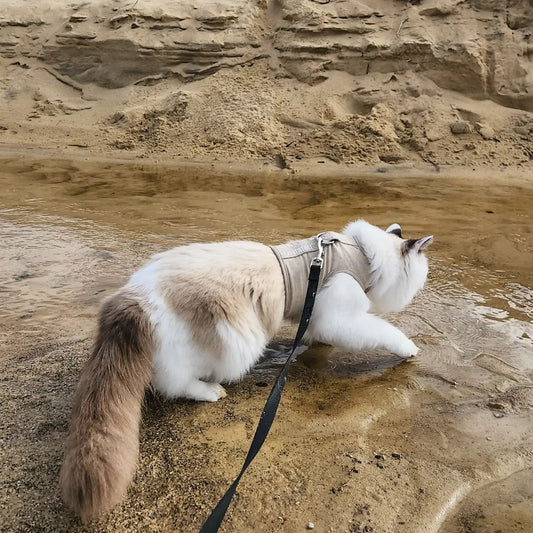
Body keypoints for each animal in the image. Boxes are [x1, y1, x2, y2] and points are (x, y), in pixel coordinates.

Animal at [58, 219, 432, 520]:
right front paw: (409, 349)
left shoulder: (320, 316)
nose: (419, 292)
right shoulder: (343, 318)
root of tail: (131, 295)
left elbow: (317, 335)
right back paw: (210, 391)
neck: (363, 258)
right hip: (238, 339)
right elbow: (384, 332)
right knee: (174, 382)